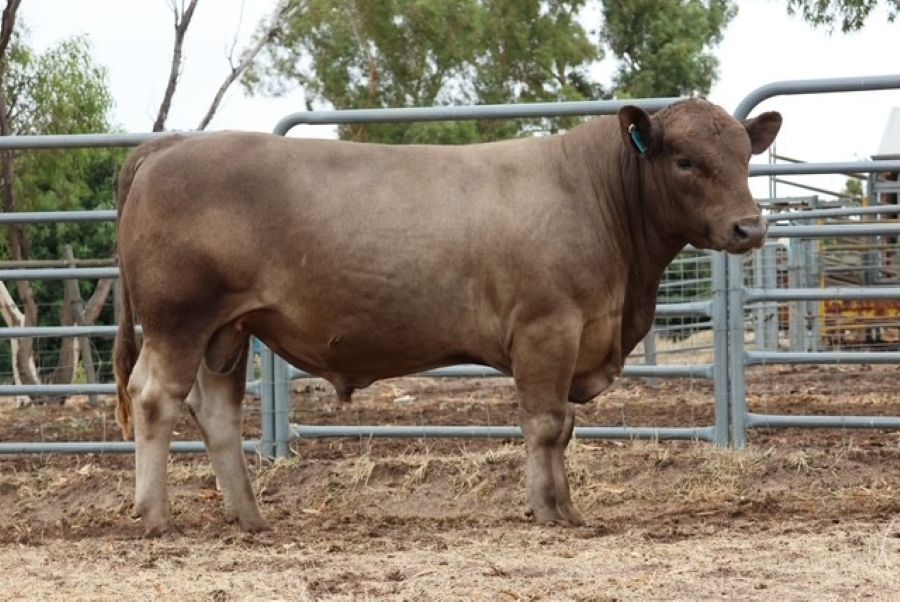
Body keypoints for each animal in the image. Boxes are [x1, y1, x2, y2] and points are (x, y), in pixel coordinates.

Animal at [113, 99, 781, 535]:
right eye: (685, 161)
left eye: (746, 155)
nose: (750, 227)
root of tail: (173, 143)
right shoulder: (548, 328)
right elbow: (547, 424)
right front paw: (550, 511)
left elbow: (561, 427)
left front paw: (564, 507)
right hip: (179, 320)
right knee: (154, 397)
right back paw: (156, 516)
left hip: (227, 330)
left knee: (215, 413)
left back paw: (251, 518)